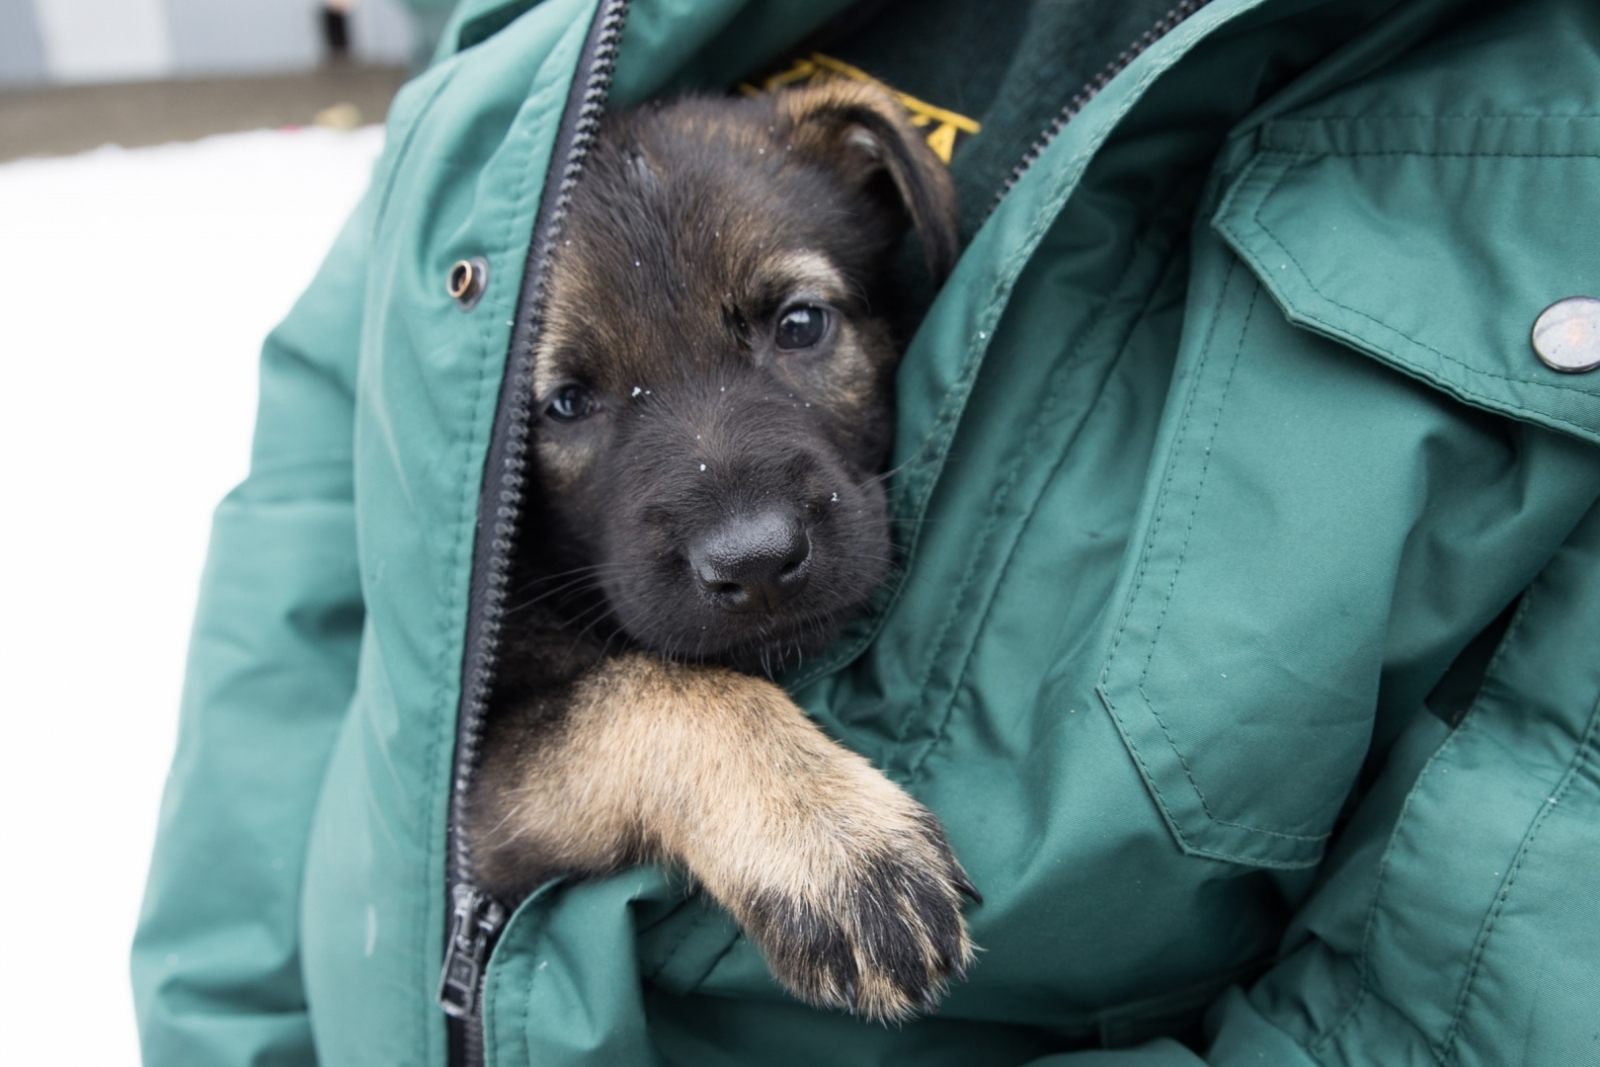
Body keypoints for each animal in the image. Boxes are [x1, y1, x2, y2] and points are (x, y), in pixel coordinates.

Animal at [457, 81, 966, 1017]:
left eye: (800, 324)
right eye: (567, 402)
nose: (756, 563)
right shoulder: (473, 810)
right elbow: (660, 691)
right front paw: (833, 842)